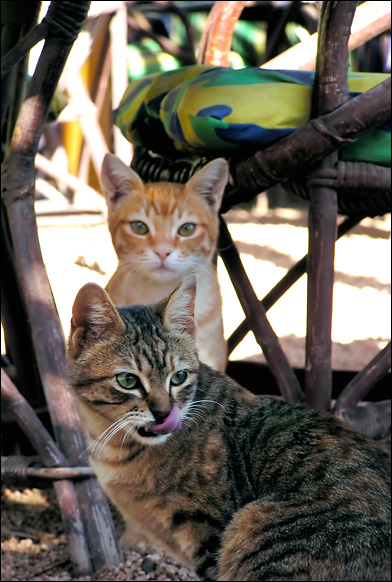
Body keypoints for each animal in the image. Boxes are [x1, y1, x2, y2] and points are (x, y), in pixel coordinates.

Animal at [66, 276, 390, 580]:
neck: (119, 448)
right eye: (128, 380)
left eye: (179, 376)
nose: (164, 413)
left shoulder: (206, 530)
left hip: (252, 527)